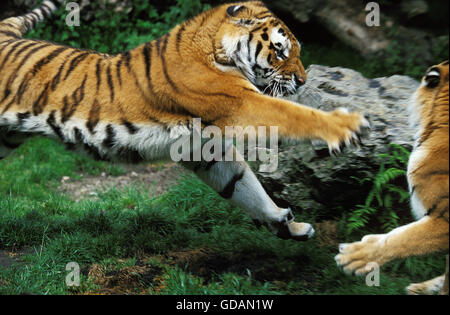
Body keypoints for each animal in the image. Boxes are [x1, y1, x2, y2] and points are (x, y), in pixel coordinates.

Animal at [0, 1, 370, 241]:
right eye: (280, 51)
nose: (303, 81)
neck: (218, 49)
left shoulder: (205, 149)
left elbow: (243, 186)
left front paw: (288, 225)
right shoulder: (243, 105)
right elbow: (295, 114)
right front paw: (347, 126)